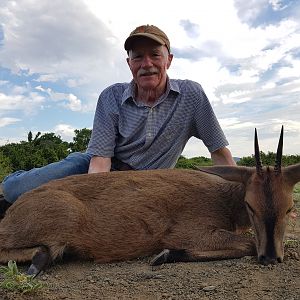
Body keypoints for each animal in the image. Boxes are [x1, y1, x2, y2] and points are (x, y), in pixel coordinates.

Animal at [0, 126, 298, 274]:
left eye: (289, 208)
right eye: (250, 205)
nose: (271, 258)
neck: (224, 198)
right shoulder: (190, 231)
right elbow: (248, 243)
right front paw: (164, 255)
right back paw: (38, 260)